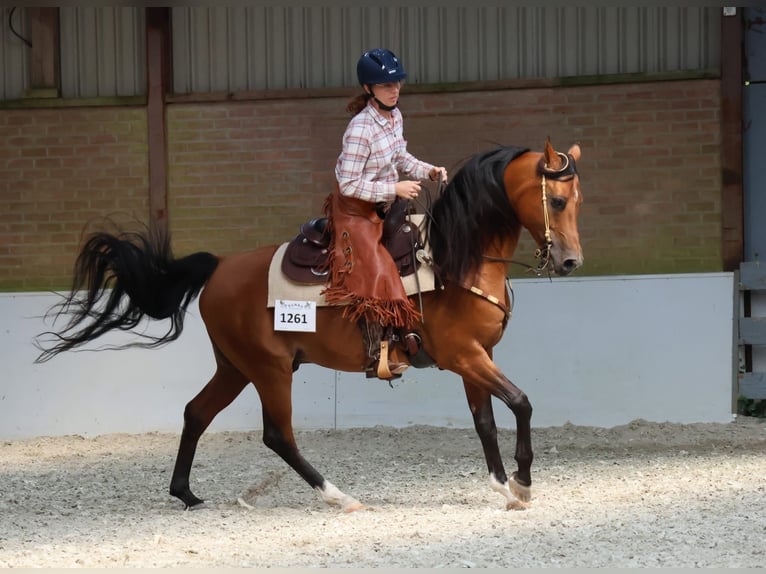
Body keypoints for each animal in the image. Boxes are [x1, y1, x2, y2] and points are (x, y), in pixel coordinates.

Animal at [34, 140, 584, 512]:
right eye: (556, 201)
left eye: (577, 200)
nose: (571, 261)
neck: (454, 260)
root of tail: (220, 266)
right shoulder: (463, 355)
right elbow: (520, 402)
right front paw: (524, 482)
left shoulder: (477, 357)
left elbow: (486, 420)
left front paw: (505, 488)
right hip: (269, 369)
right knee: (278, 435)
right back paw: (339, 496)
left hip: (235, 367)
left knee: (196, 412)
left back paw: (186, 493)